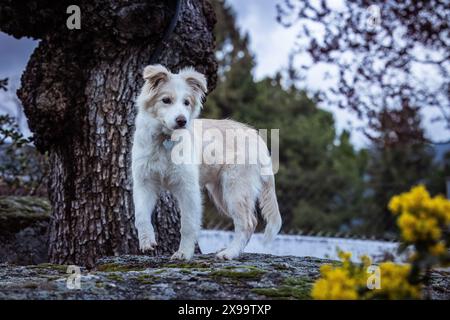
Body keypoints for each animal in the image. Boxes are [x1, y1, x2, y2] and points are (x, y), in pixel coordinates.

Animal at [131, 64, 282, 260]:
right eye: (166, 100)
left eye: (186, 102)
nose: (182, 121)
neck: (164, 140)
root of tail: (258, 138)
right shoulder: (144, 182)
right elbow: (140, 216)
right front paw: (147, 242)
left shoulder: (188, 188)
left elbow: (188, 225)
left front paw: (183, 253)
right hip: (221, 193)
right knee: (250, 220)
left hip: (235, 188)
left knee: (247, 222)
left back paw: (229, 253)